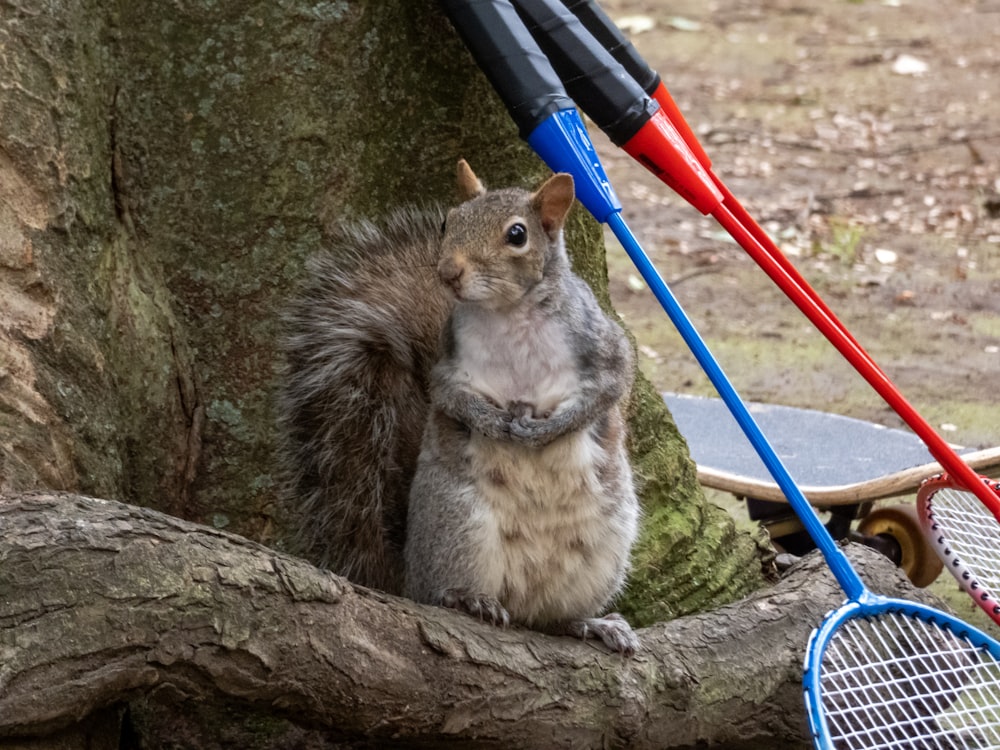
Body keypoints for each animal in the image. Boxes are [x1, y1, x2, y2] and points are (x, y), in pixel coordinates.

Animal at [280, 160, 640, 656]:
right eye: (448, 222)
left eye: (517, 235)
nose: (448, 270)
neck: (509, 315)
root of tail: (408, 576)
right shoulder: (448, 367)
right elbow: (451, 398)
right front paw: (494, 423)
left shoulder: (603, 346)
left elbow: (610, 388)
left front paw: (544, 430)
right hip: (461, 528)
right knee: (445, 594)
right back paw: (468, 600)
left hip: (602, 549)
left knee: (553, 620)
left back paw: (593, 623)